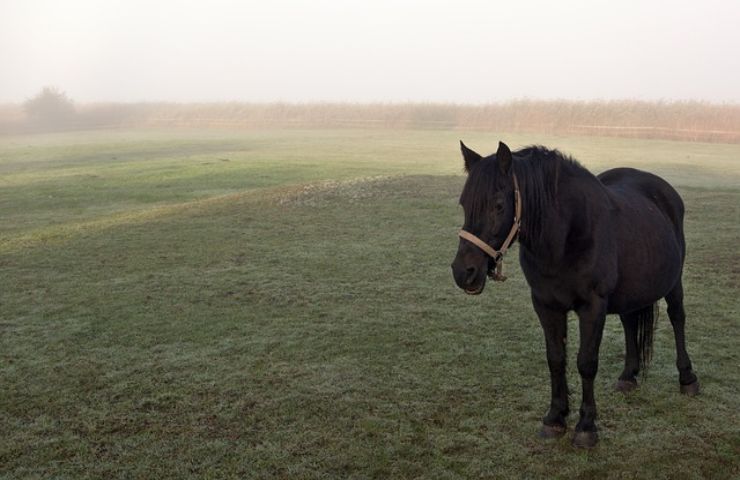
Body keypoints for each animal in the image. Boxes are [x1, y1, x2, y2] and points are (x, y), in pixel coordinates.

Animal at [450, 141, 700, 448]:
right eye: (464, 203)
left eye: (498, 205)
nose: (464, 272)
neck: (565, 237)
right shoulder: (546, 305)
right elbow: (556, 359)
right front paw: (555, 418)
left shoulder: (592, 307)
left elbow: (586, 363)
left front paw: (586, 426)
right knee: (630, 323)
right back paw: (628, 376)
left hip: (674, 283)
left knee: (677, 318)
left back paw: (687, 378)